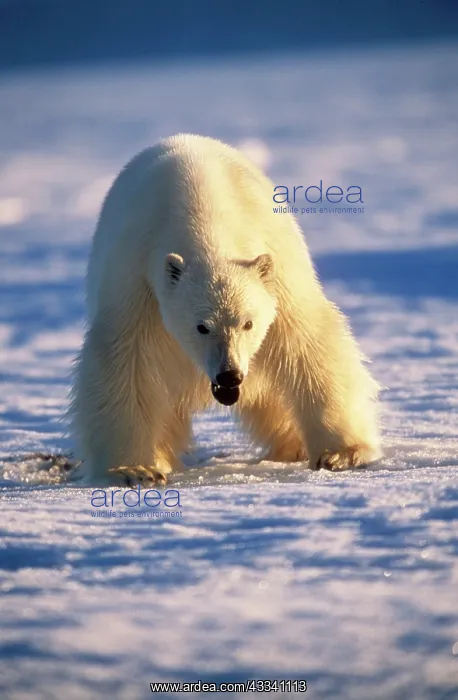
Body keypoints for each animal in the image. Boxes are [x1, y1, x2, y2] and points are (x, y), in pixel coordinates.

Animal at [69, 133, 381, 486]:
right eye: (201, 326)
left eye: (248, 323)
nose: (228, 375)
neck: (203, 208)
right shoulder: (137, 279)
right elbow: (123, 362)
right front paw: (133, 470)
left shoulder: (276, 269)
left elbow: (306, 343)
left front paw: (342, 453)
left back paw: (292, 446)